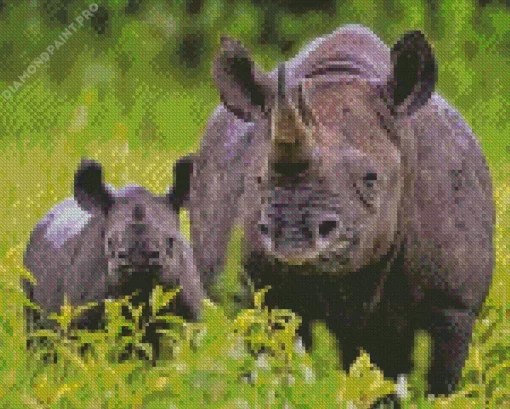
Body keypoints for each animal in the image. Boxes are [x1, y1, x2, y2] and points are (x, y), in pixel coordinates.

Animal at [183, 24, 494, 398]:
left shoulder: (451, 303)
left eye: (371, 179)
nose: (293, 236)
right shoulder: (246, 295)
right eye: (257, 180)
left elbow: (435, 382)